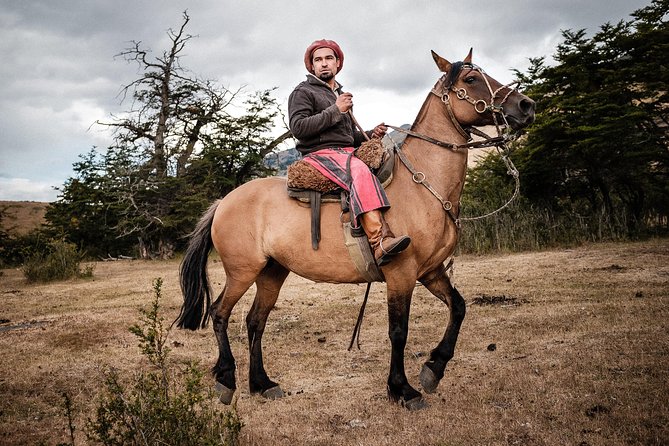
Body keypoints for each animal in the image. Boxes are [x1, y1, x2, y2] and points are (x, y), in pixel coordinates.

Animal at [176, 49, 532, 412]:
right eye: (471, 79)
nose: (526, 105)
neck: (422, 184)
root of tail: (223, 202)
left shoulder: (431, 271)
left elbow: (458, 308)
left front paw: (434, 368)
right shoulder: (401, 273)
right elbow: (398, 331)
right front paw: (403, 389)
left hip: (272, 272)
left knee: (254, 321)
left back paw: (262, 384)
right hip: (242, 271)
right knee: (220, 313)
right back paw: (226, 379)